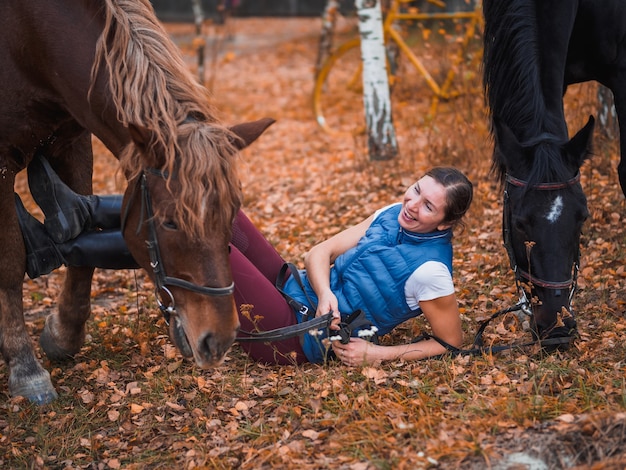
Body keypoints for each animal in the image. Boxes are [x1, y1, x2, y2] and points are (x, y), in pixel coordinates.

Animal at [1, 0, 272, 404]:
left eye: (232, 215)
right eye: (171, 221)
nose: (219, 340)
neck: (29, 39)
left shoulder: (73, 139)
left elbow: (79, 246)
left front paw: (64, 335)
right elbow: (9, 263)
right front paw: (25, 367)